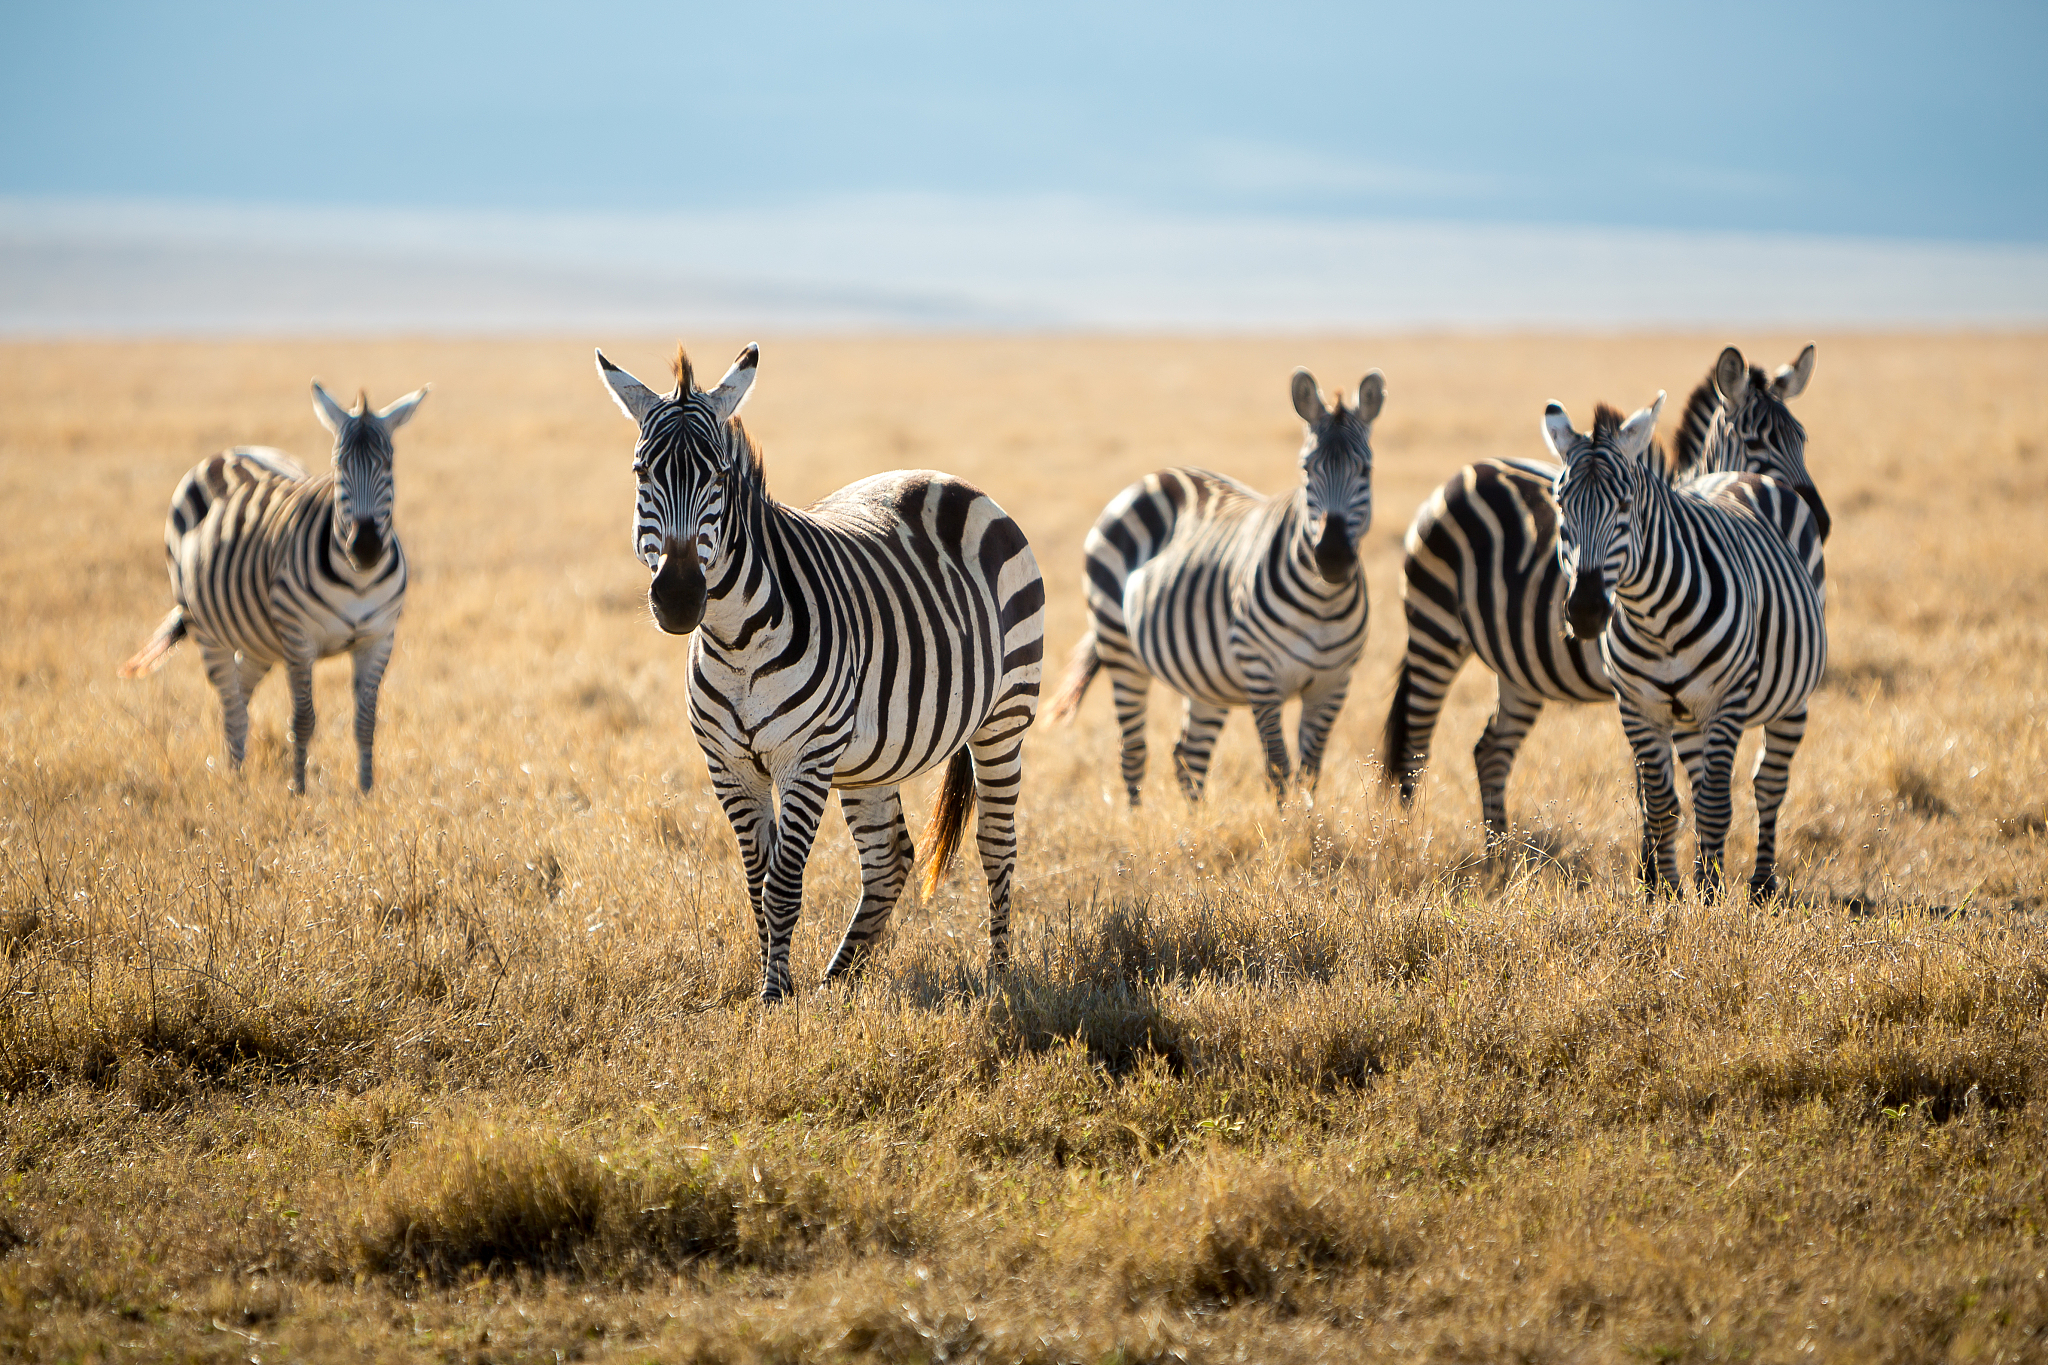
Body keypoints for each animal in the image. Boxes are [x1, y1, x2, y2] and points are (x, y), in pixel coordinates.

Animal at [120, 383, 426, 794]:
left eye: (388, 466)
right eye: (338, 468)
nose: (365, 547)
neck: (358, 580)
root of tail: (233, 450)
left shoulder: (378, 639)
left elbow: (366, 721)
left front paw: (365, 794)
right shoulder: (298, 640)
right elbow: (303, 720)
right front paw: (298, 791)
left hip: (258, 637)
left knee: (240, 688)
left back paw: (235, 767)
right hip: (206, 627)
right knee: (231, 702)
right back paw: (234, 781)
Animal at [596, 342, 1044, 1002]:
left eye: (720, 476)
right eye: (640, 474)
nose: (678, 598)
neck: (734, 639)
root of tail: (946, 479)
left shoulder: (805, 758)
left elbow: (782, 885)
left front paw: (776, 997)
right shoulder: (727, 766)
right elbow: (757, 883)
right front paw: (776, 983)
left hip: (1004, 717)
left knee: (996, 844)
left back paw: (1000, 974)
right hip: (869, 756)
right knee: (889, 858)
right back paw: (840, 978)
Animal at [1049, 367, 1380, 806]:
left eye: (1366, 471)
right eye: (1307, 470)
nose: (1333, 557)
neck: (1322, 602)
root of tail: (1157, 475)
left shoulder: (1333, 683)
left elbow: (1310, 774)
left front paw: (1311, 824)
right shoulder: (1260, 674)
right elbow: (1279, 768)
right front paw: (1289, 825)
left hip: (1205, 675)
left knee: (1188, 756)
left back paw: (1195, 821)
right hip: (1120, 646)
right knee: (1133, 752)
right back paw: (1137, 821)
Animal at [1381, 345, 1824, 853]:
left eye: (1802, 439)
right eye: (1754, 442)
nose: (1820, 519)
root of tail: (1466, 472)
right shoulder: (1632, 692)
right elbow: (1651, 792)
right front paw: (1649, 861)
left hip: (1519, 668)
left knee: (1489, 749)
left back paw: (1498, 858)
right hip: (1433, 629)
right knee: (1415, 748)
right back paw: (1409, 843)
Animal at [1548, 393, 1827, 901]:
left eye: (1626, 504)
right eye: (1560, 505)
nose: (1587, 611)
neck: (1652, 615)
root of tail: (1743, 474)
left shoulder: (1726, 700)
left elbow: (1716, 805)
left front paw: (1709, 900)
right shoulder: (1637, 706)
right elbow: (1662, 805)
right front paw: (1667, 893)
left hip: (1790, 699)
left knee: (1769, 784)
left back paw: (1761, 885)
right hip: (1687, 717)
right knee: (1697, 788)